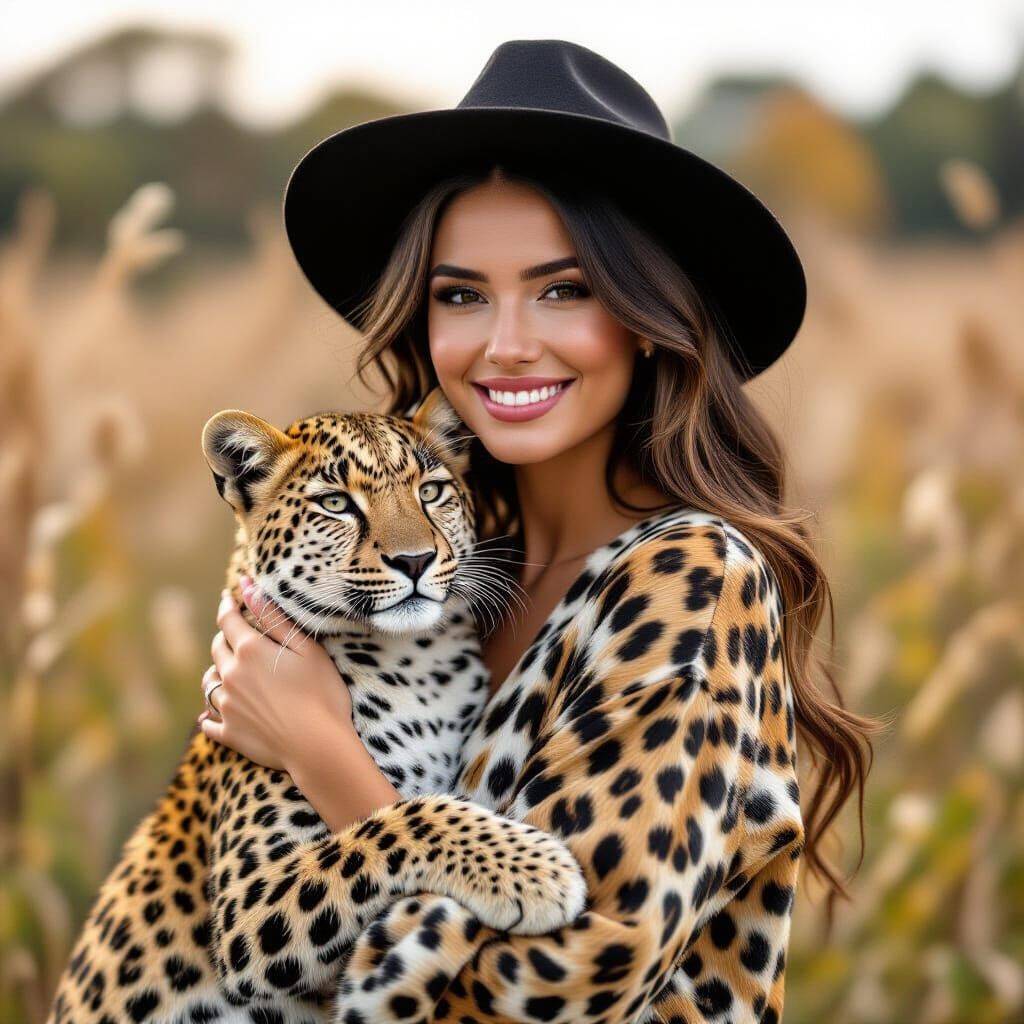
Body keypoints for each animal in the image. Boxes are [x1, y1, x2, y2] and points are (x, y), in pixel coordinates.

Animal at [46, 387, 588, 1024]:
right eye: (336, 504)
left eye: (431, 491)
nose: (414, 560)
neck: (417, 664)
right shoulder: (249, 905)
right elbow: (397, 822)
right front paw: (537, 871)